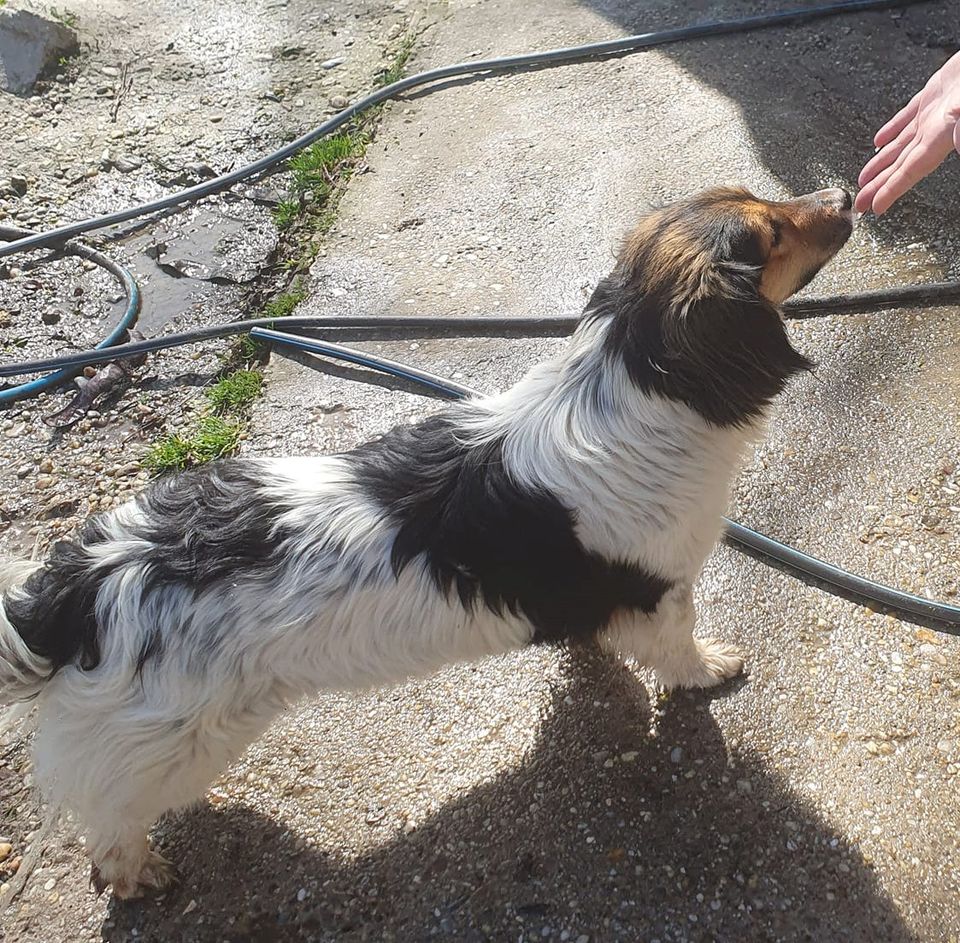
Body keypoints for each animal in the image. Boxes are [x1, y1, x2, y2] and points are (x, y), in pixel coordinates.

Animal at [0, 184, 856, 900]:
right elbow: (678, 651)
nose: (845, 193)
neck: (628, 381)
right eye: (771, 233)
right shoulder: (661, 587)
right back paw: (137, 871)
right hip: (173, 736)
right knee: (107, 819)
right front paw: (711, 669)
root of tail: (82, 578)